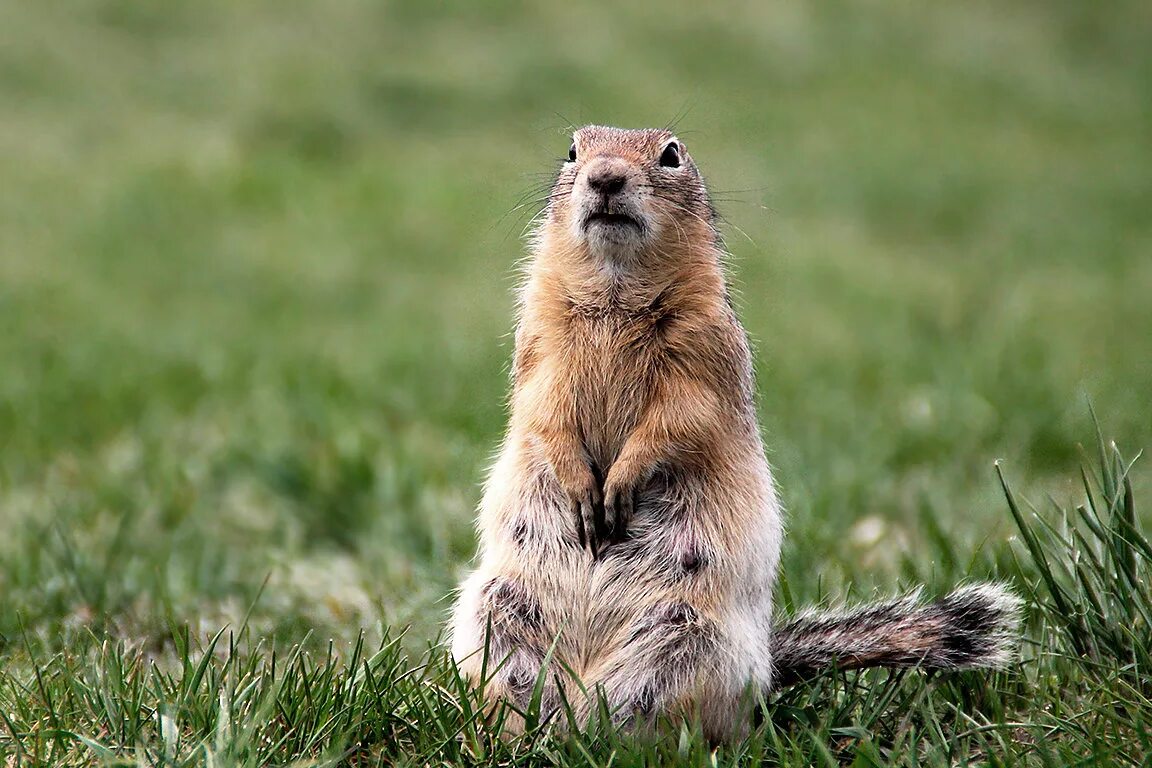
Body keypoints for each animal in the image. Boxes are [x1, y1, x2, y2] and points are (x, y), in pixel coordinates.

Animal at [446, 126, 1018, 746]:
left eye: (671, 153)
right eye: (574, 150)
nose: (605, 176)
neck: (615, 294)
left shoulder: (703, 355)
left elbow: (680, 419)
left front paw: (621, 483)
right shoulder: (540, 347)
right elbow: (540, 413)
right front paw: (580, 485)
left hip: (688, 640)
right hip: (497, 617)